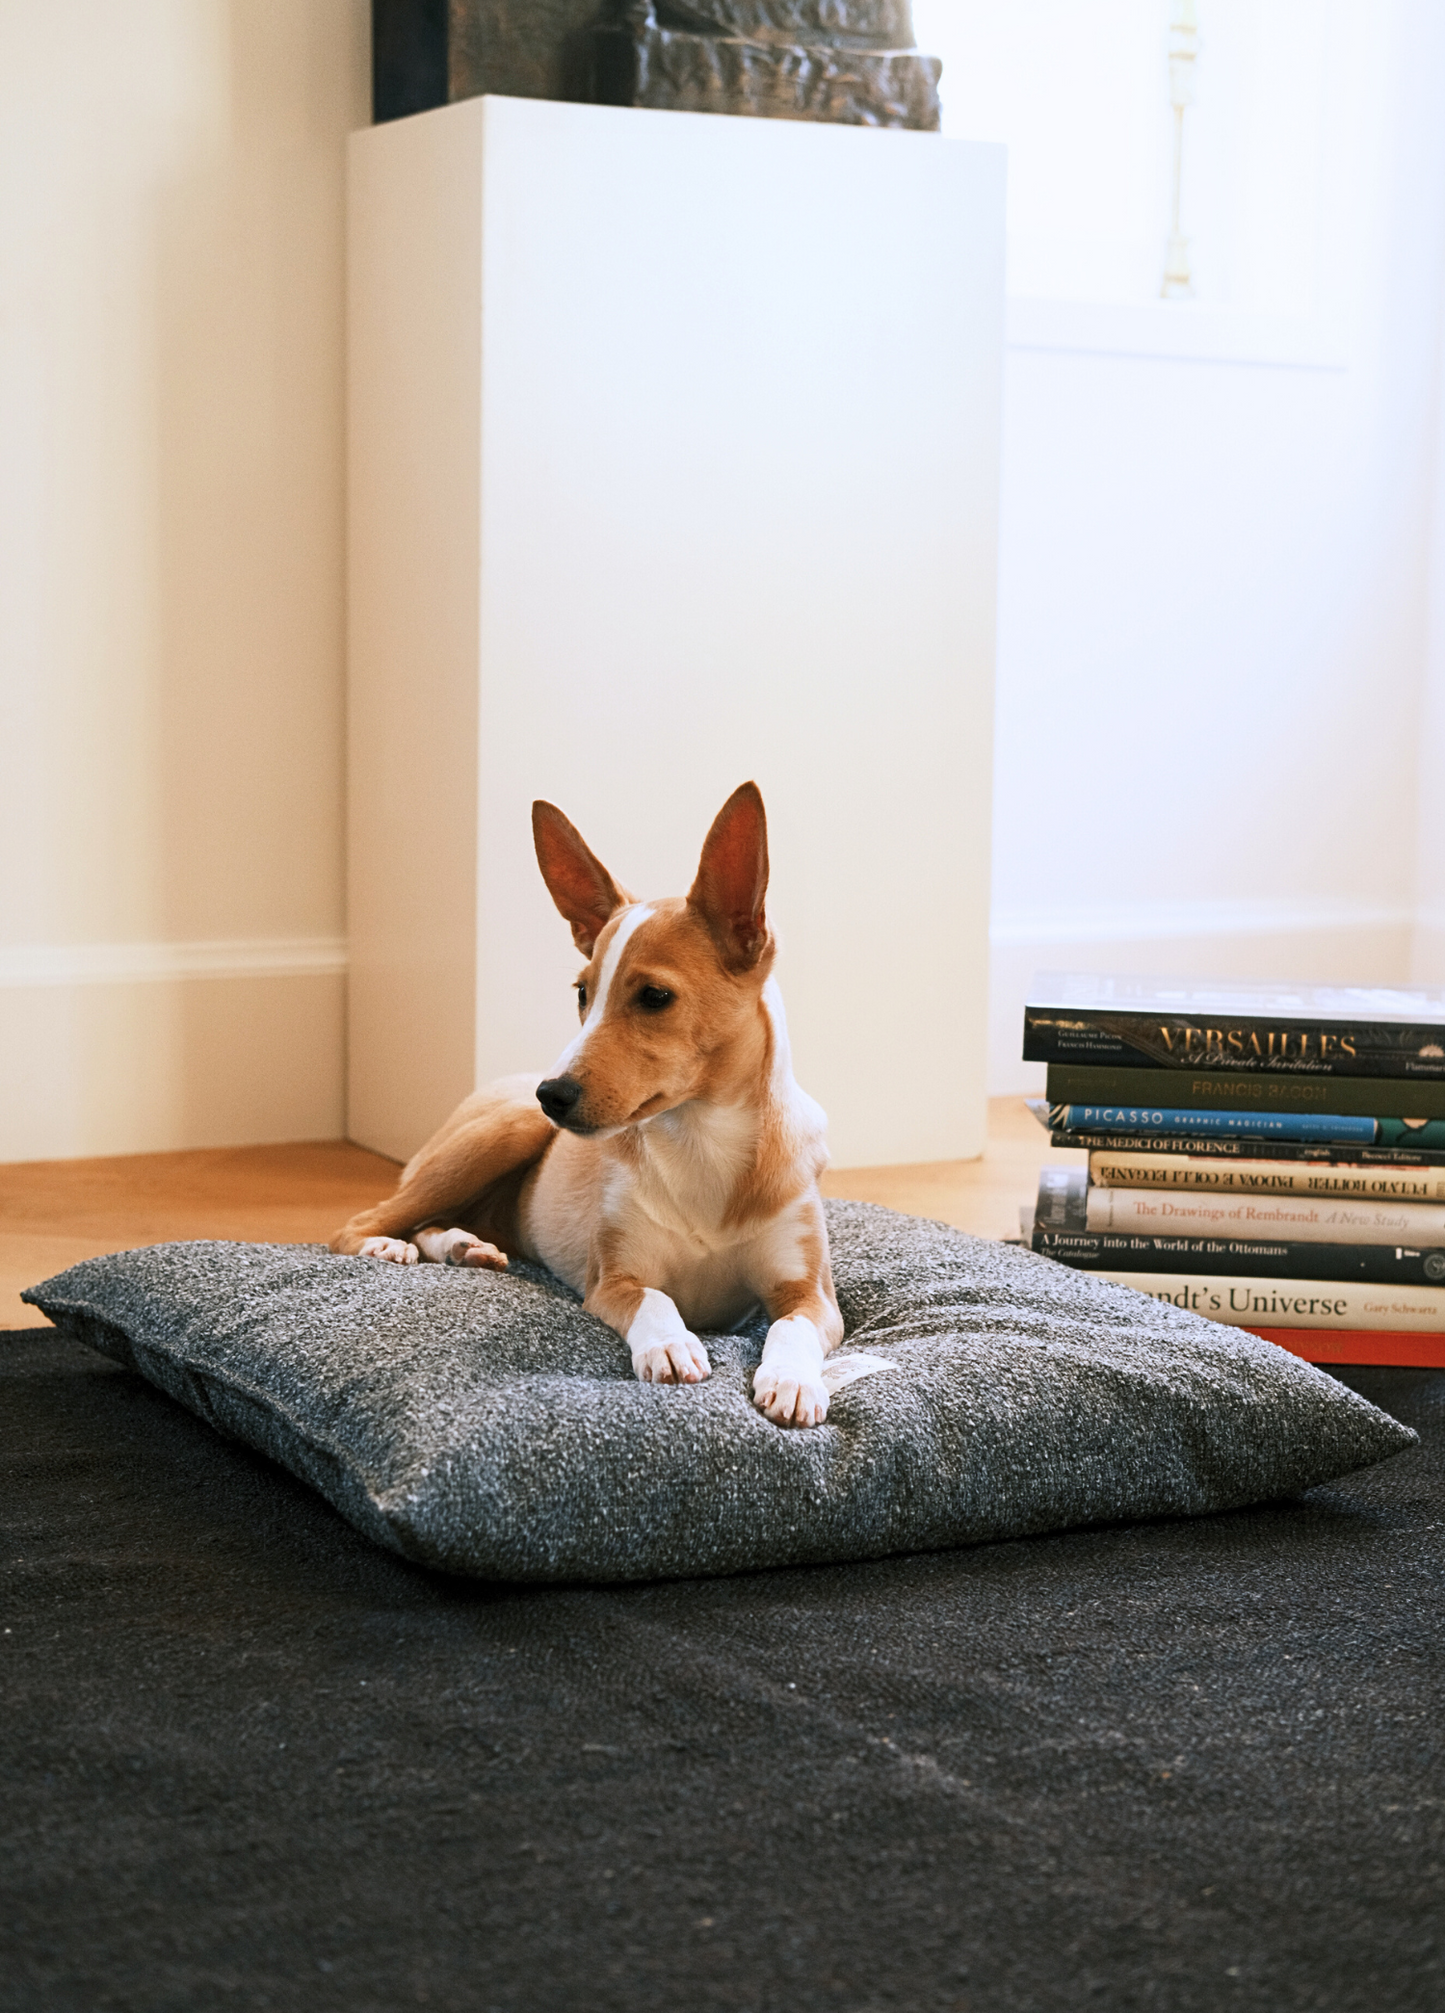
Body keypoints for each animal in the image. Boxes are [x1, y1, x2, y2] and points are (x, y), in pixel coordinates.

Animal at [334, 785, 853, 1433]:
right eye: (583, 993)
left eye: (655, 997)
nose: (551, 1095)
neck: (702, 1143)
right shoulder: (611, 1280)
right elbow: (655, 1299)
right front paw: (670, 1345)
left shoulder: (814, 1295)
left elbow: (792, 1327)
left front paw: (792, 1379)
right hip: (501, 1135)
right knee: (364, 1222)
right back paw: (388, 1246)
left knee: (432, 1222)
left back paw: (463, 1245)